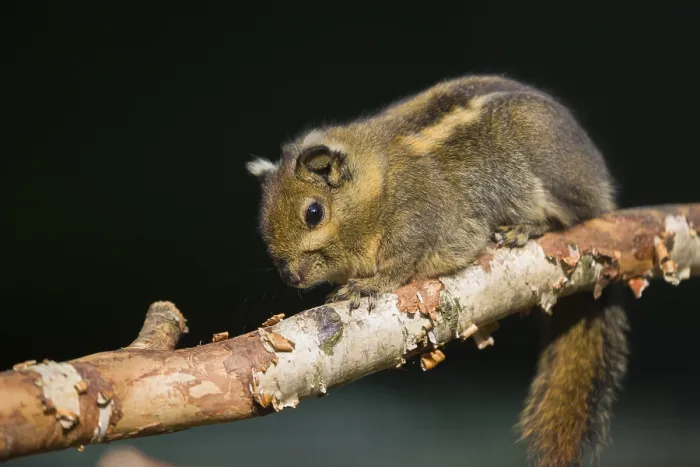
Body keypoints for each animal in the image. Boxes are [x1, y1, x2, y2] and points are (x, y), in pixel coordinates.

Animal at [246, 74, 629, 466]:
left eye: (314, 213)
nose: (290, 276)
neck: (377, 184)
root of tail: (599, 189)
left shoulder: (418, 223)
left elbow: (402, 263)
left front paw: (369, 285)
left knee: (568, 216)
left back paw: (526, 228)